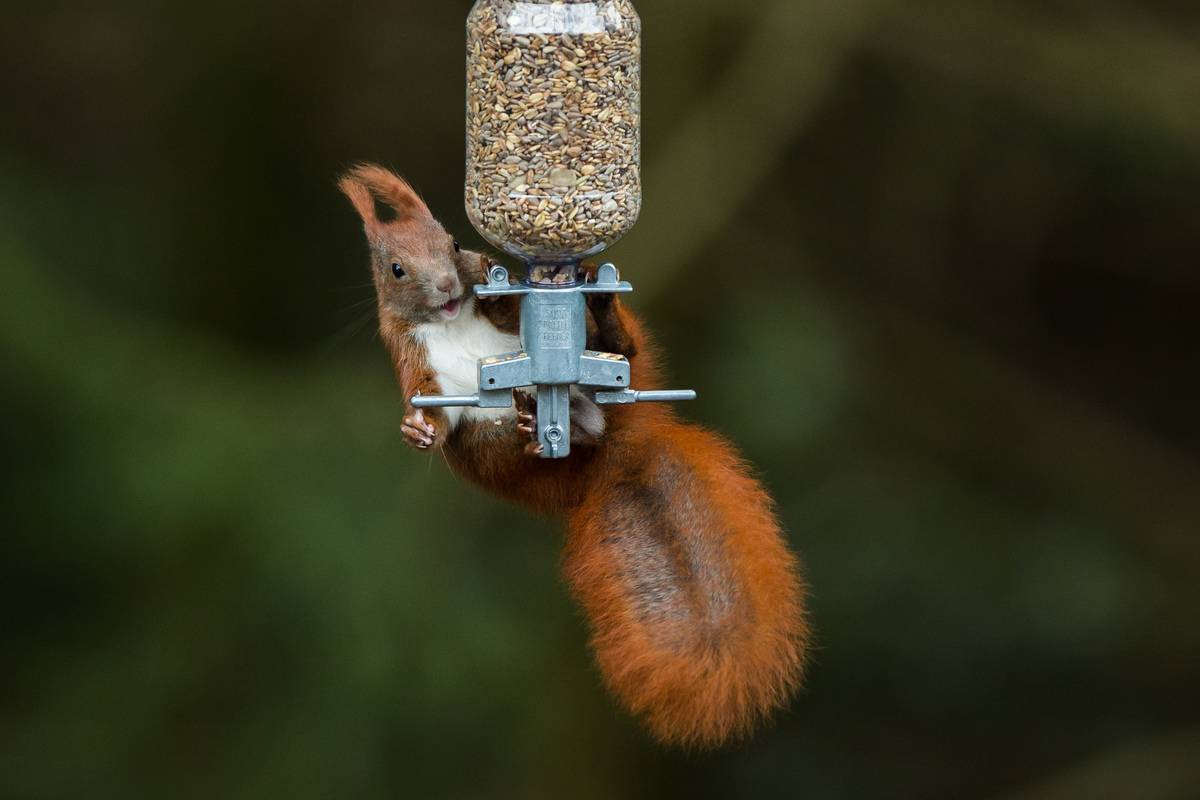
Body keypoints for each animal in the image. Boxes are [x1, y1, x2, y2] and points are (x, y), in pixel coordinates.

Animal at [339, 163, 810, 749]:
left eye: (453, 243)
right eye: (397, 270)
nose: (451, 284)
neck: (450, 321)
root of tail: (617, 451)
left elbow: (509, 307)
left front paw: (490, 281)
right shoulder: (414, 363)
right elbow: (437, 413)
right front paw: (416, 429)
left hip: (612, 364)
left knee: (624, 350)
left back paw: (605, 320)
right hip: (503, 450)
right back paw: (550, 426)